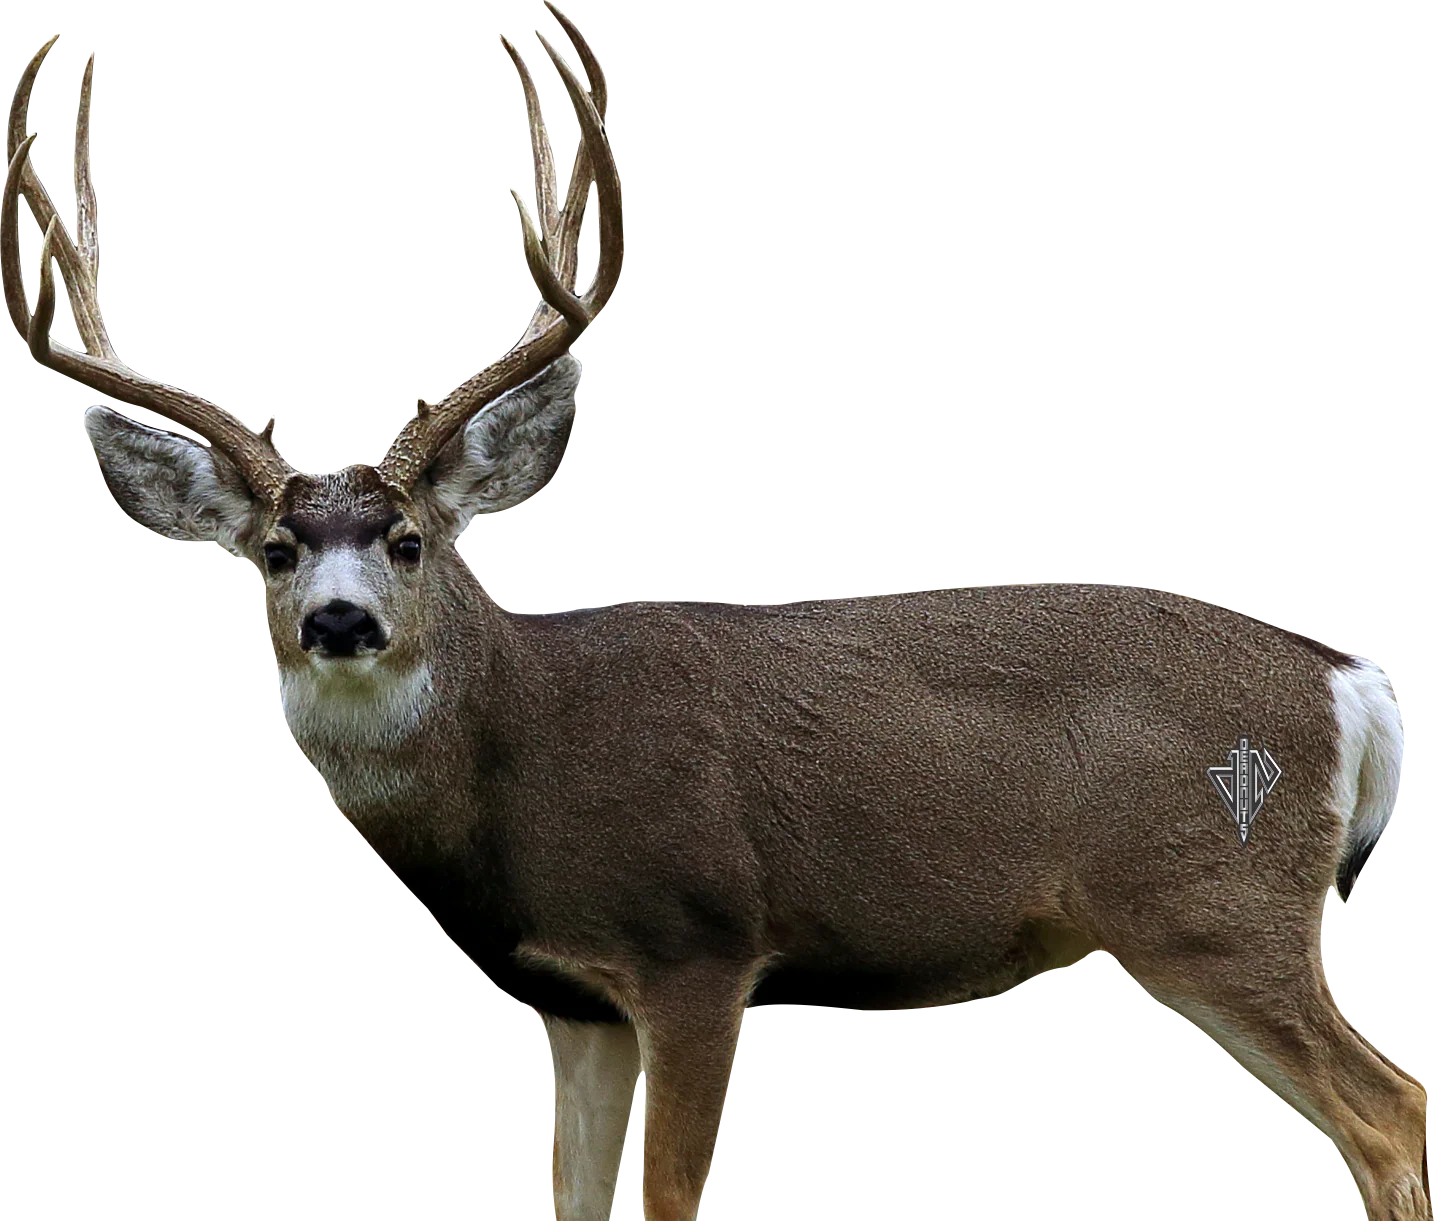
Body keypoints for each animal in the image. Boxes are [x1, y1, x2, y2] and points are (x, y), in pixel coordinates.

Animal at [4, 7, 1429, 1221]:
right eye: (275, 550)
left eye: (410, 541)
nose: (341, 623)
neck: (524, 752)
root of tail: (1346, 679)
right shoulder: (570, 997)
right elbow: (569, 1201)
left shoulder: (700, 944)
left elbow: (670, 1198)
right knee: (1397, 1105)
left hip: (1209, 894)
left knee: (1388, 1118)